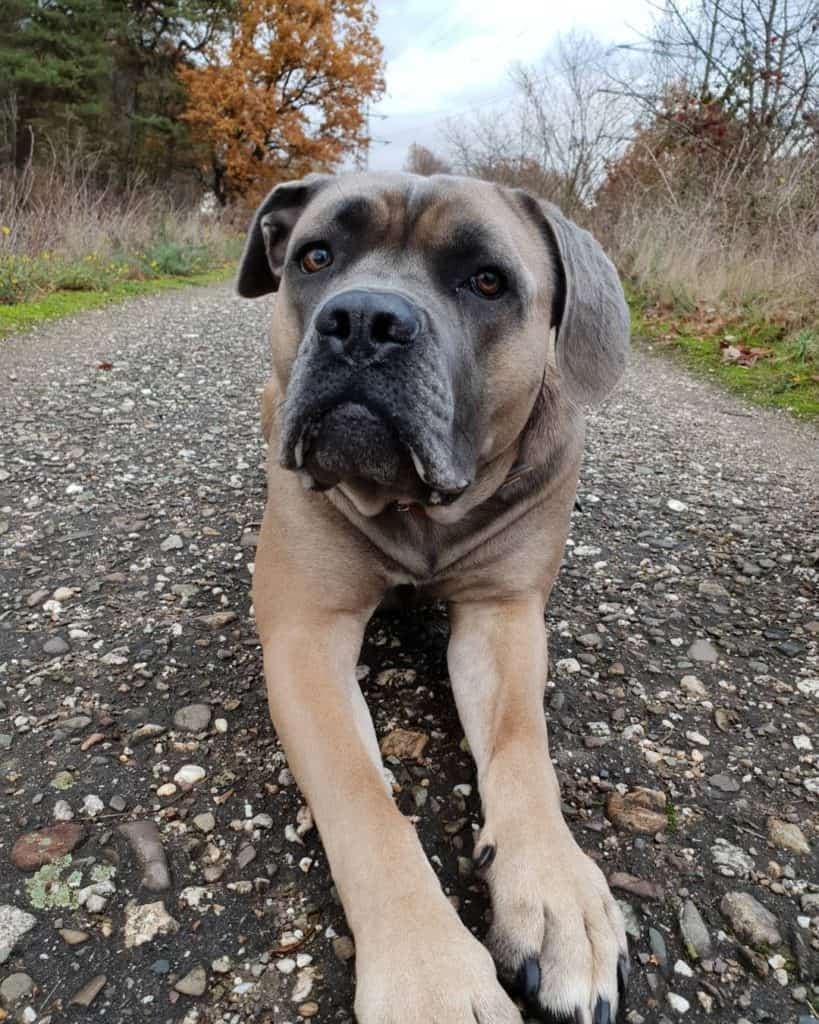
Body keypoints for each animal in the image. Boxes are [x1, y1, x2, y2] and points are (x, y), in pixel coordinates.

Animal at [236, 172, 634, 1019]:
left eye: (486, 281)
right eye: (316, 255)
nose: (363, 320)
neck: (417, 510)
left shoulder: (503, 614)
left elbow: (521, 745)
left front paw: (558, 897)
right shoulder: (305, 637)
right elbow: (361, 800)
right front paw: (431, 973)